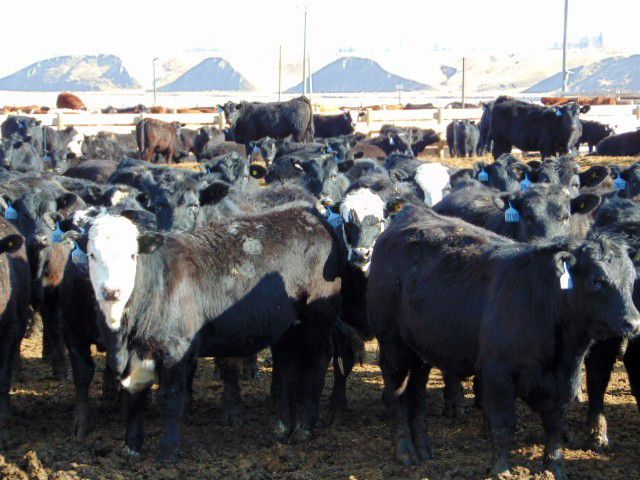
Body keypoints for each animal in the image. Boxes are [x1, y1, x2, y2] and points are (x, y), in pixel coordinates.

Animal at [85, 204, 343, 461]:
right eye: (92, 255)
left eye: (132, 255)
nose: (111, 291)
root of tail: (308, 215)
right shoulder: (135, 355)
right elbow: (135, 397)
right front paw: (131, 447)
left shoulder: (176, 349)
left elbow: (170, 397)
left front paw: (168, 451)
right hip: (287, 326)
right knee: (289, 364)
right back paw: (282, 428)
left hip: (318, 320)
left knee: (317, 363)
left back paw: (304, 428)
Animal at [367, 206, 640, 478]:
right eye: (597, 280)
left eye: (632, 279)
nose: (633, 322)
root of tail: (411, 212)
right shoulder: (497, 375)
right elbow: (503, 425)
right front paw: (501, 470)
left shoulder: (564, 381)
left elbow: (554, 426)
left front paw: (554, 469)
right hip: (392, 344)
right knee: (396, 393)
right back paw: (405, 450)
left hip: (420, 352)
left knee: (417, 394)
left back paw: (423, 448)